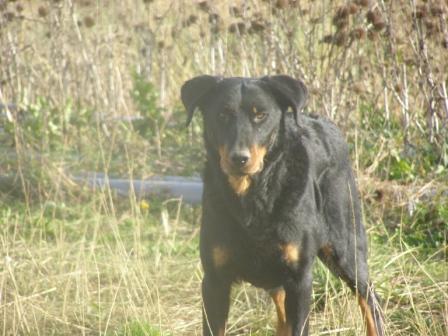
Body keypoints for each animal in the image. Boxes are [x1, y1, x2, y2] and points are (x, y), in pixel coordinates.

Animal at [180, 76, 384, 336]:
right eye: (222, 114)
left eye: (260, 115)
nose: (239, 158)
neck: (253, 195)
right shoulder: (214, 280)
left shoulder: (299, 279)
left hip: (346, 246)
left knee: (369, 298)